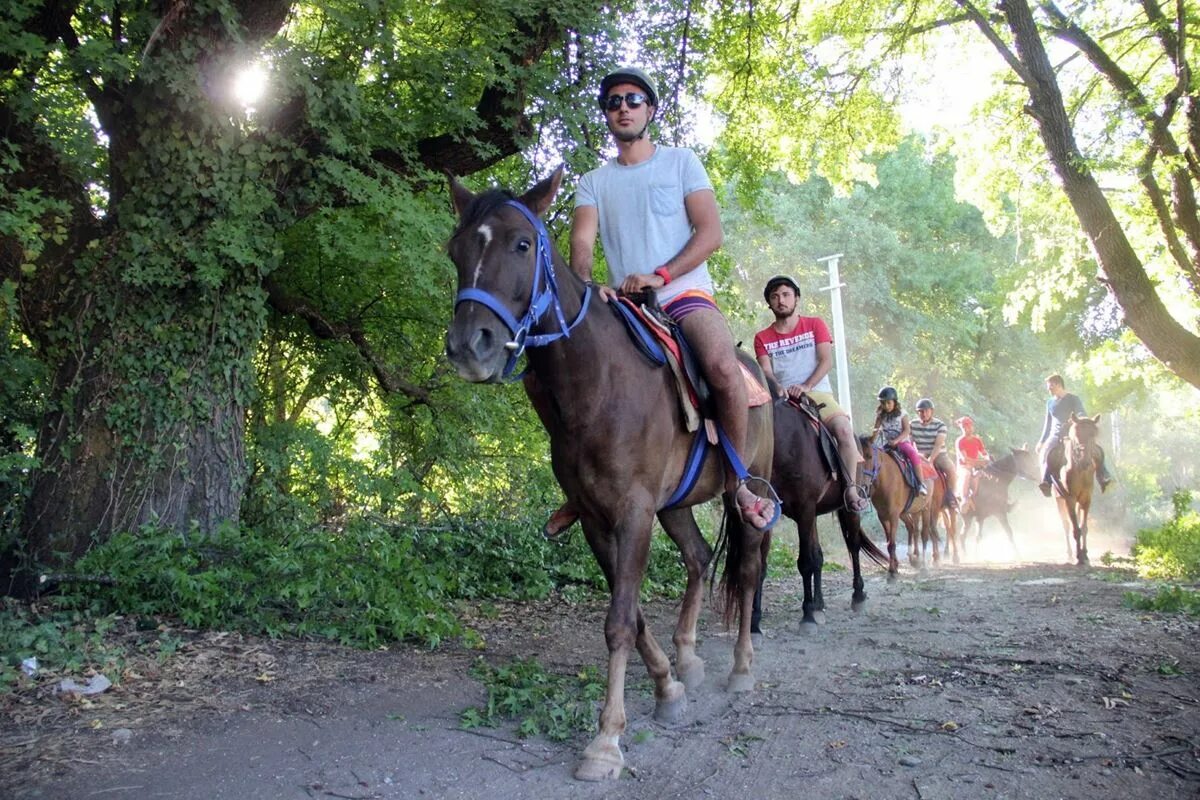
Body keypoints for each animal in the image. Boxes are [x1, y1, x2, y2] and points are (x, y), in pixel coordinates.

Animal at [446, 170, 772, 782]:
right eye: (455, 251)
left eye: (521, 245)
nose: (468, 346)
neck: (596, 385)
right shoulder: (597, 519)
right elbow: (634, 615)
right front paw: (668, 687)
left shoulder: (634, 512)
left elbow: (620, 621)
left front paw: (605, 741)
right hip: (677, 505)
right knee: (698, 559)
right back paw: (689, 656)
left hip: (750, 493)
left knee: (745, 569)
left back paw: (741, 668)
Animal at [864, 438, 955, 575]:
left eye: (869, 456)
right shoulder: (883, 515)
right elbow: (889, 542)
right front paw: (895, 565)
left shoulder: (894, 514)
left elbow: (892, 543)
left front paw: (893, 570)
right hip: (912, 511)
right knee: (914, 528)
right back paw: (916, 558)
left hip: (930, 508)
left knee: (933, 531)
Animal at [1046, 417, 1099, 566]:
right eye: (1075, 436)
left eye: (1094, 435)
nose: (1085, 461)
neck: (1079, 469)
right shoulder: (1069, 498)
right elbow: (1075, 529)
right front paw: (1079, 556)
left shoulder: (1086, 499)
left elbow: (1084, 528)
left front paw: (1085, 555)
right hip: (1059, 500)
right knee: (1066, 525)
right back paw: (1070, 554)